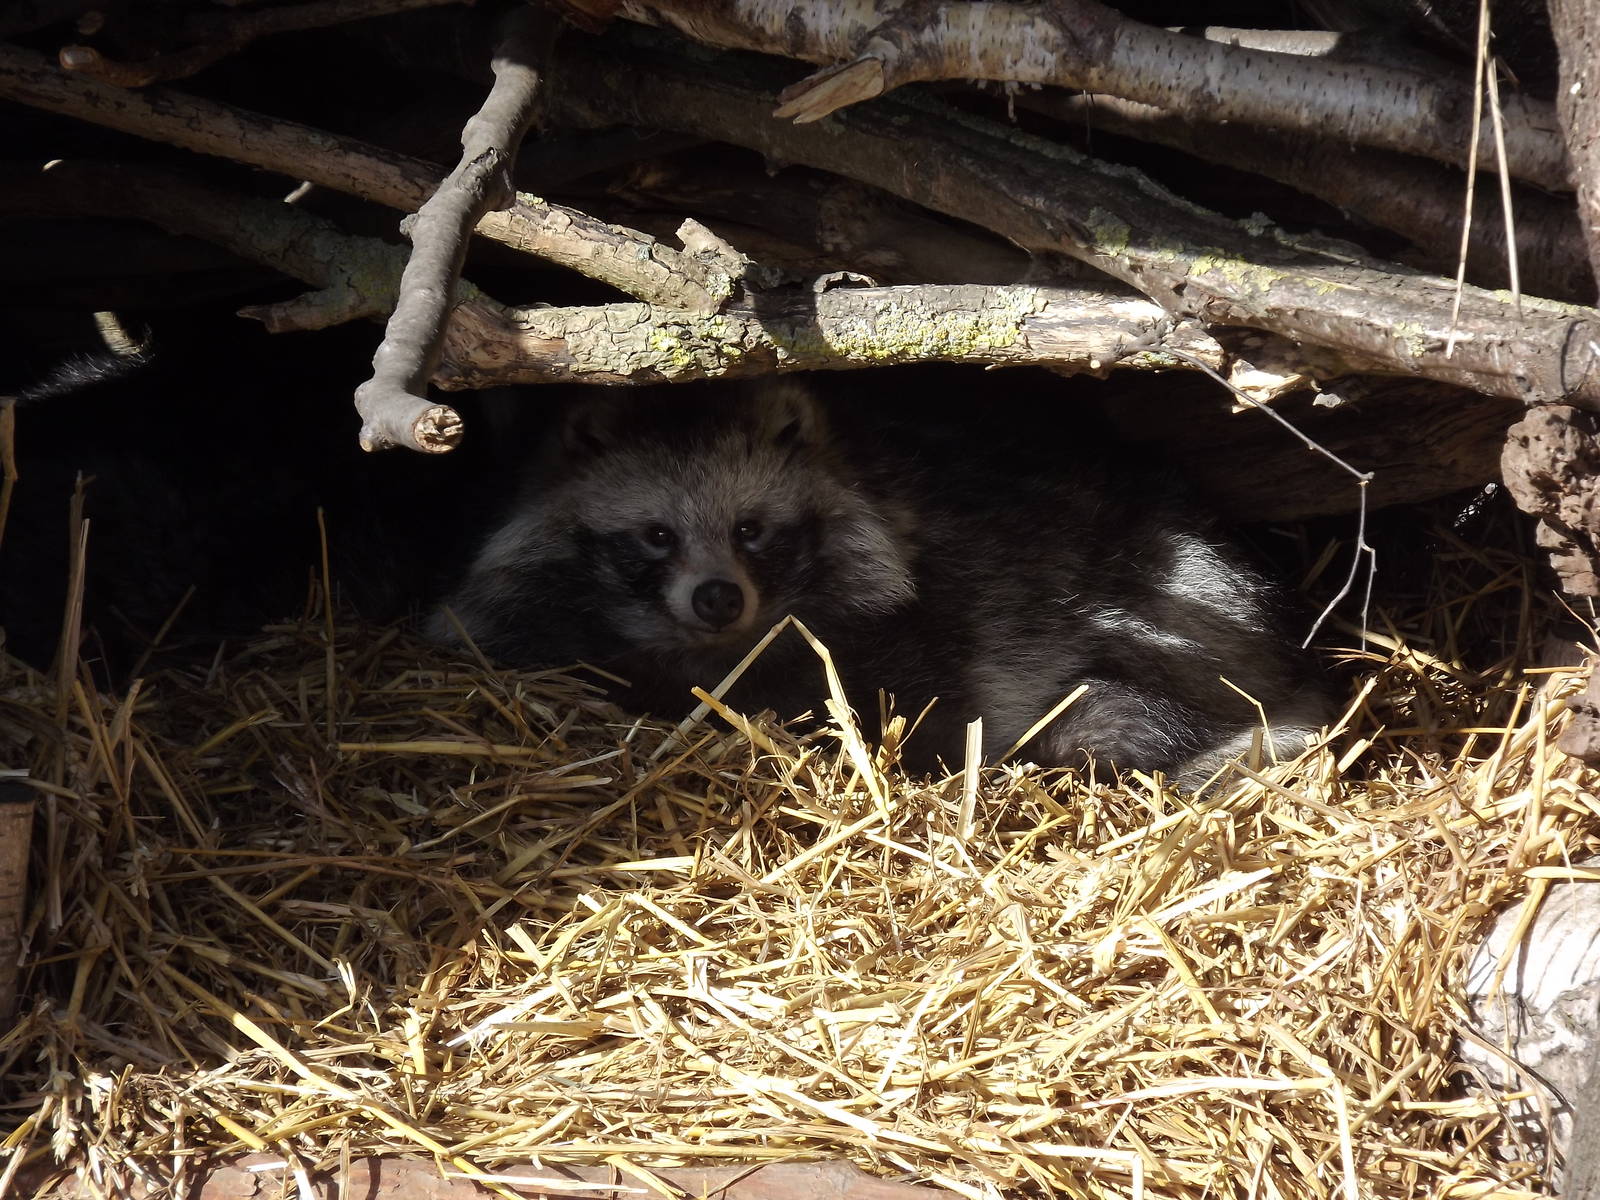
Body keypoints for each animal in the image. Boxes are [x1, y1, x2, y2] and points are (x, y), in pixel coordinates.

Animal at [434, 380, 1329, 784]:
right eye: (656, 535)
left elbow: (923, 710)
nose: (718, 597)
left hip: (1183, 617)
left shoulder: (928, 627)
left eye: (751, 528)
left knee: (1108, 718)